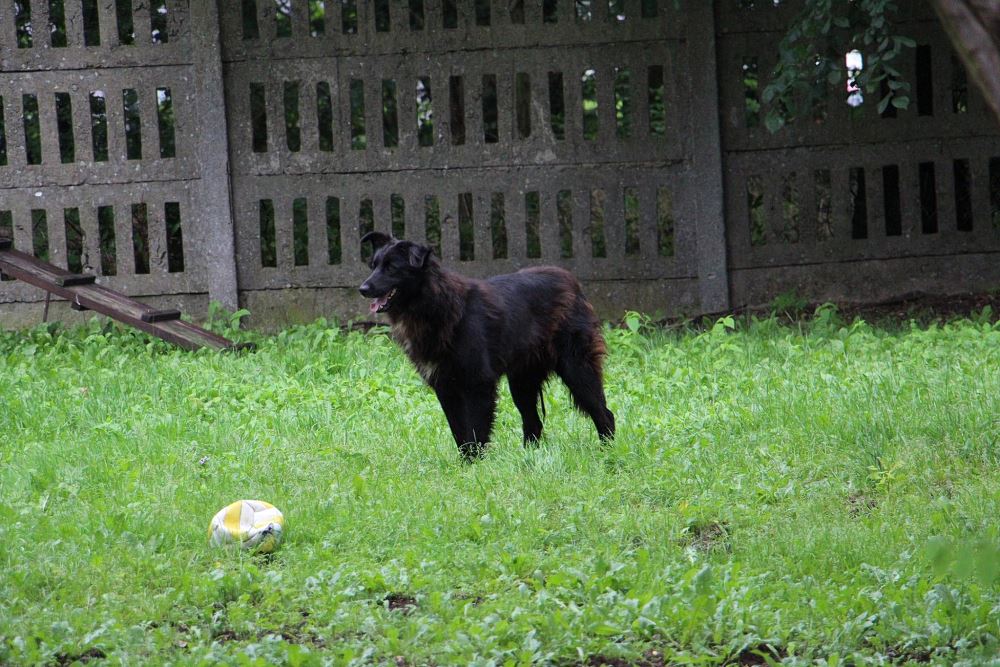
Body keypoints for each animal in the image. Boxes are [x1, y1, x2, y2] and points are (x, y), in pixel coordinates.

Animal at [359, 232, 615, 459]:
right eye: (373, 266)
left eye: (392, 268)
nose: (362, 289)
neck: (435, 304)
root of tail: (572, 282)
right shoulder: (445, 387)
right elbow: (459, 433)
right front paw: (465, 466)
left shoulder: (477, 384)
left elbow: (475, 431)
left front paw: (475, 466)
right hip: (522, 381)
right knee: (533, 422)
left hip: (577, 369)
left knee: (604, 414)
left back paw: (608, 454)